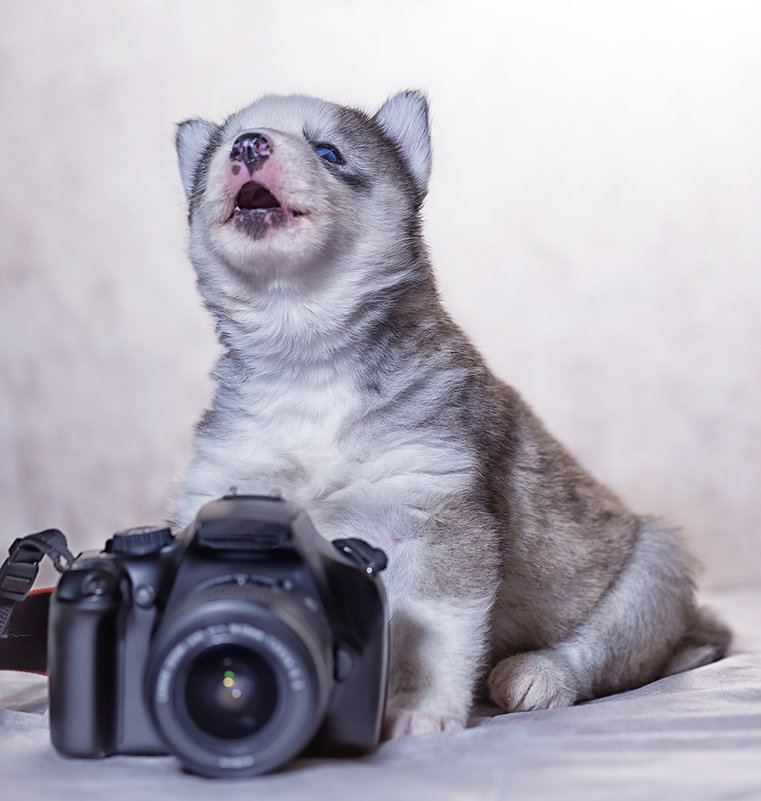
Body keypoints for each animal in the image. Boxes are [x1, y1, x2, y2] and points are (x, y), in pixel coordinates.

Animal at [172, 90, 732, 736]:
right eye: (221, 150)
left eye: (328, 151)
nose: (248, 145)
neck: (308, 359)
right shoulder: (218, 483)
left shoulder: (436, 512)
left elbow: (431, 632)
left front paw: (419, 708)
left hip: (653, 567)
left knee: (608, 649)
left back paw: (537, 674)